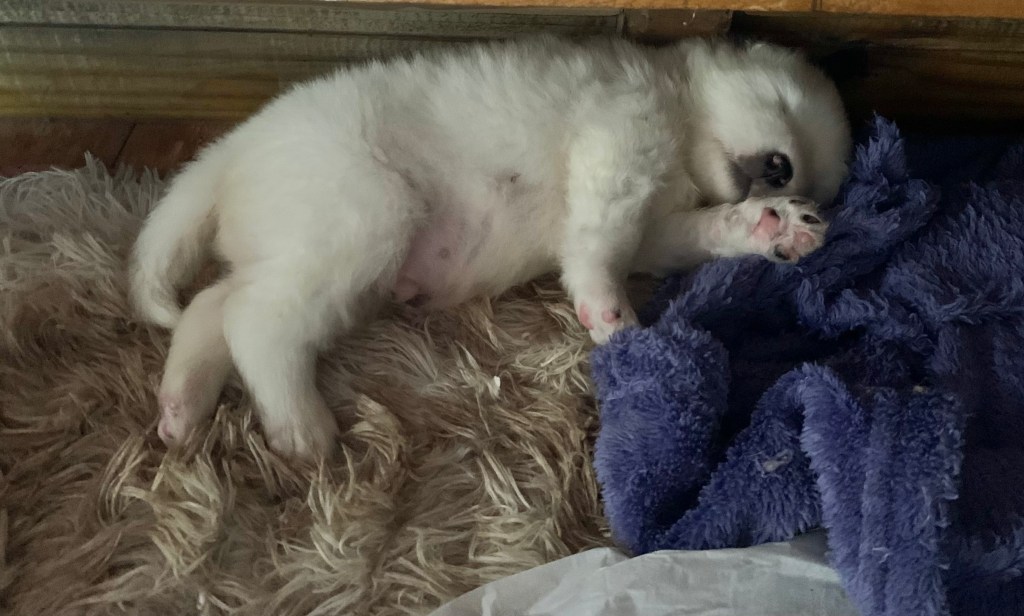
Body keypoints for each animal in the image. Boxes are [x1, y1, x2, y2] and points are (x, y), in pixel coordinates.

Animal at [131, 35, 851, 459]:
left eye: (811, 171)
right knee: (255, 322)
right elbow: (601, 239)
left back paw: (183, 405)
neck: (679, 107)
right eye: (781, 103)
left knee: (215, 306)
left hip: (303, 251)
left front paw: (772, 225)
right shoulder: (622, 136)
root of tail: (227, 153)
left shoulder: (661, 225)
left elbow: (692, 231)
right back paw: (300, 427)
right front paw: (611, 314)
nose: (781, 170)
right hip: (360, 218)